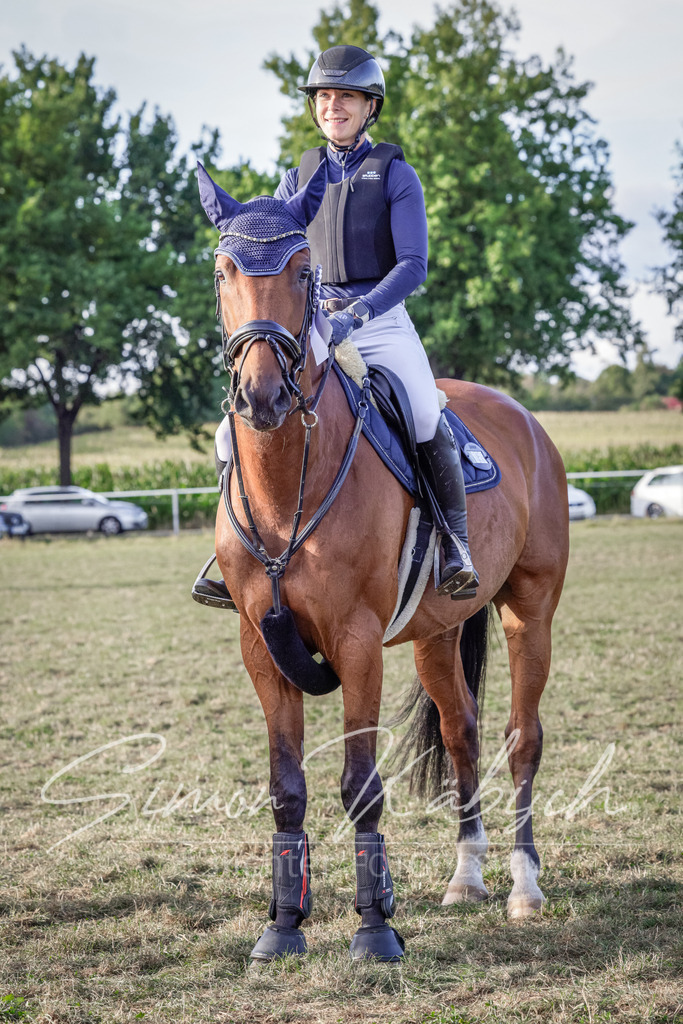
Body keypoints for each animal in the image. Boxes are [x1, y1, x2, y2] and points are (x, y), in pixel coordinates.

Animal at [196, 161, 569, 963]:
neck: (290, 483)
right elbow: (287, 787)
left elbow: (360, 783)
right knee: (461, 732)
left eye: (304, 271)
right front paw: (282, 927)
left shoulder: (357, 641)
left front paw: (374, 929)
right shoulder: (259, 645)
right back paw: (466, 878)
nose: (262, 395)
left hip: (531, 609)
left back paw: (524, 886)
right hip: (436, 633)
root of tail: (521, 416)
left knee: (520, 739)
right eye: (223, 270)